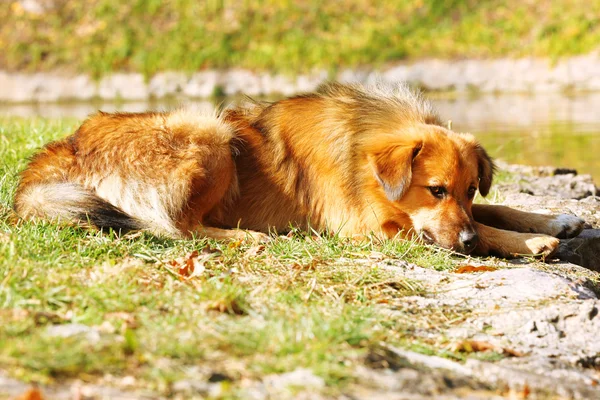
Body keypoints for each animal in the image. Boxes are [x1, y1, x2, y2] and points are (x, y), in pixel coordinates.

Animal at [12, 82, 584, 258]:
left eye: (467, 189)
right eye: (435, 189)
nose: (463, 242)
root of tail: (63, 148)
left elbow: (497, 208)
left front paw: (553, 220)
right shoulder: (372, 228)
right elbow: (485, 226)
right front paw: (533, 242)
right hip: (210, 132)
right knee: (175, 226)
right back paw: (250, 238)